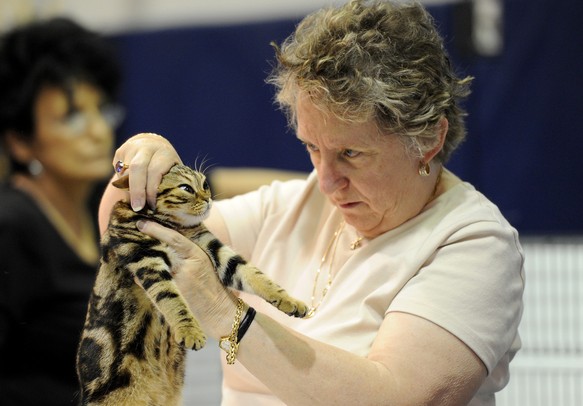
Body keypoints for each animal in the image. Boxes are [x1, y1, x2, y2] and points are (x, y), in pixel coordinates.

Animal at [77, 163, 310, 404]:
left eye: (205, 184)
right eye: (186, 188)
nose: (208, 199)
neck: (177, 227)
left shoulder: (214, 249)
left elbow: (253, 274)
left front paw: (289, 300)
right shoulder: (146, 260)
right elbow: (172, 299)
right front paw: (190, 331)